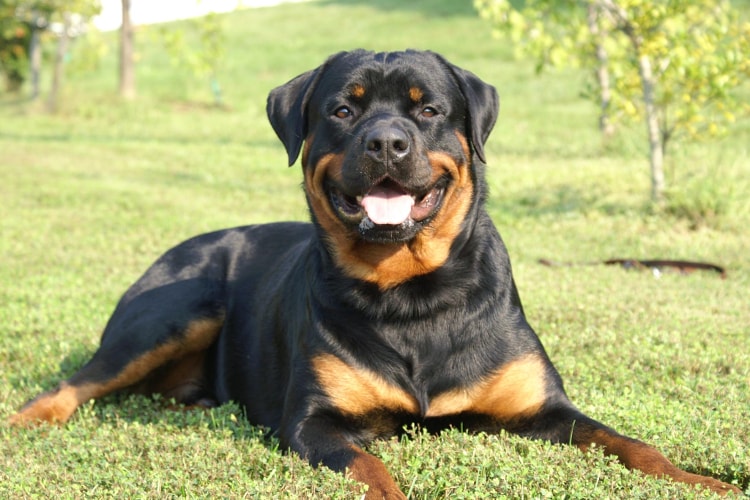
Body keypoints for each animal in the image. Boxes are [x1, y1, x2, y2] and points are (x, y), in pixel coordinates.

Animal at [8, 49, 744, 496]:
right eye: (343, 108)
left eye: (428, 108)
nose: (386, 141)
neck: (412, 293)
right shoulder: (316, 422)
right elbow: (370, 467)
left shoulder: (545, 410)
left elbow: (631, 444)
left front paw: (704, 482)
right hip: (177, 307)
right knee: (75, 384)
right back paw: (21, 424)